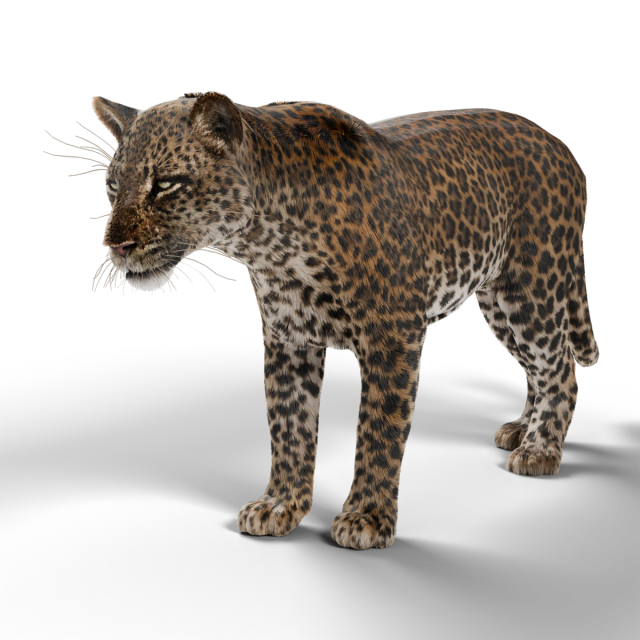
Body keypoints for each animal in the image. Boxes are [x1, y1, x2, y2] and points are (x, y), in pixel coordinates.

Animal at [90, 92, 600, 549]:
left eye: (165, 184)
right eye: (113, 188)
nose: (115, 246)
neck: (270, 242)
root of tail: (559, 144)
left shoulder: (393, 338)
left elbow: (377, 431)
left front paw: (366, 518)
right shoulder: (287, 341)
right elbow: (288, 427)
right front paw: (280, 505)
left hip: (530, 289)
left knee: (561, 368)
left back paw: (540, 448)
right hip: (499, 302)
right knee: (539, 366)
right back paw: (523, 428)